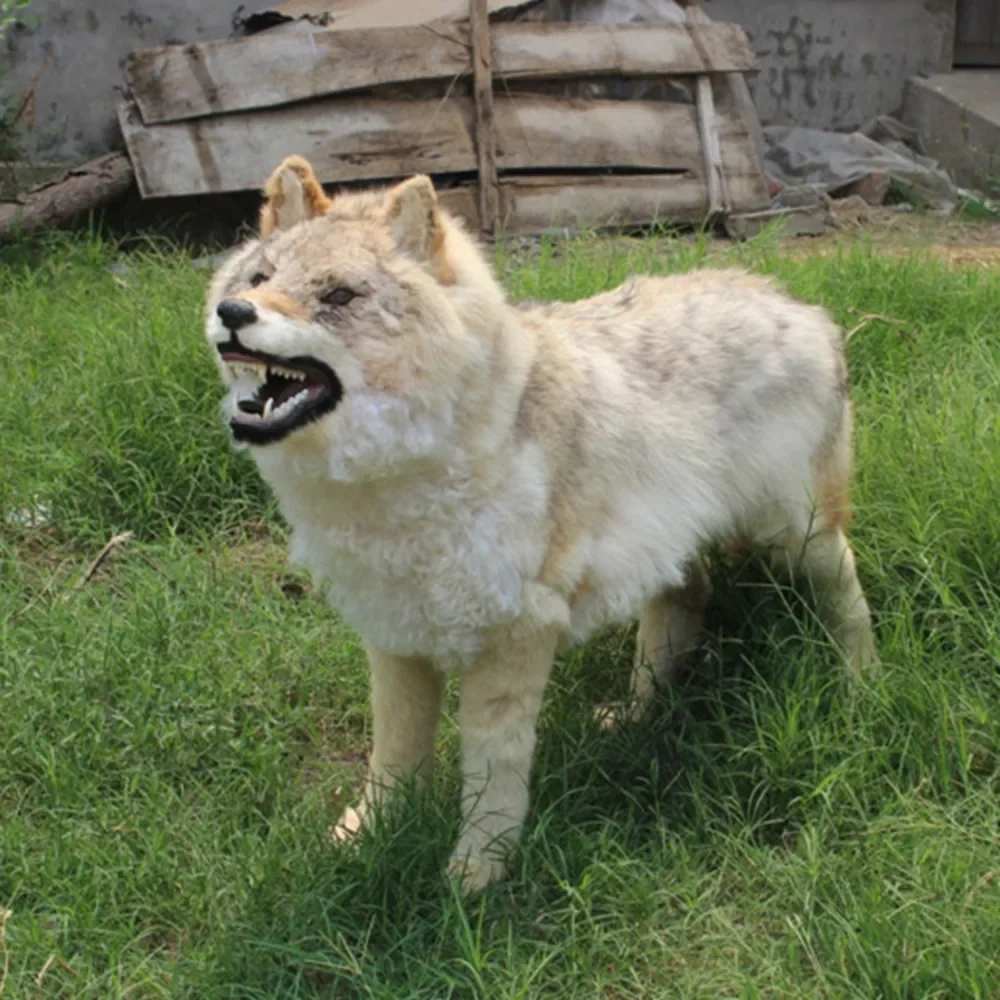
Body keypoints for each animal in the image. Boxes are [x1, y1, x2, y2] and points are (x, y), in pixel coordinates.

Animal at [204, 155, 876, 893]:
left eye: (339, 296)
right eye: (260, 280)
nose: (232, 314)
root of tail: (800, 305)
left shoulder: (514, 640)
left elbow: (493, 771)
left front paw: (475, 874)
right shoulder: (395, 637)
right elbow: (393, 758)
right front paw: (367, 837)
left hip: (794, 535)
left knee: (848, 587)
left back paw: (863, 684)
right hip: (670, 549)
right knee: (685, 601)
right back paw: (634, 715)